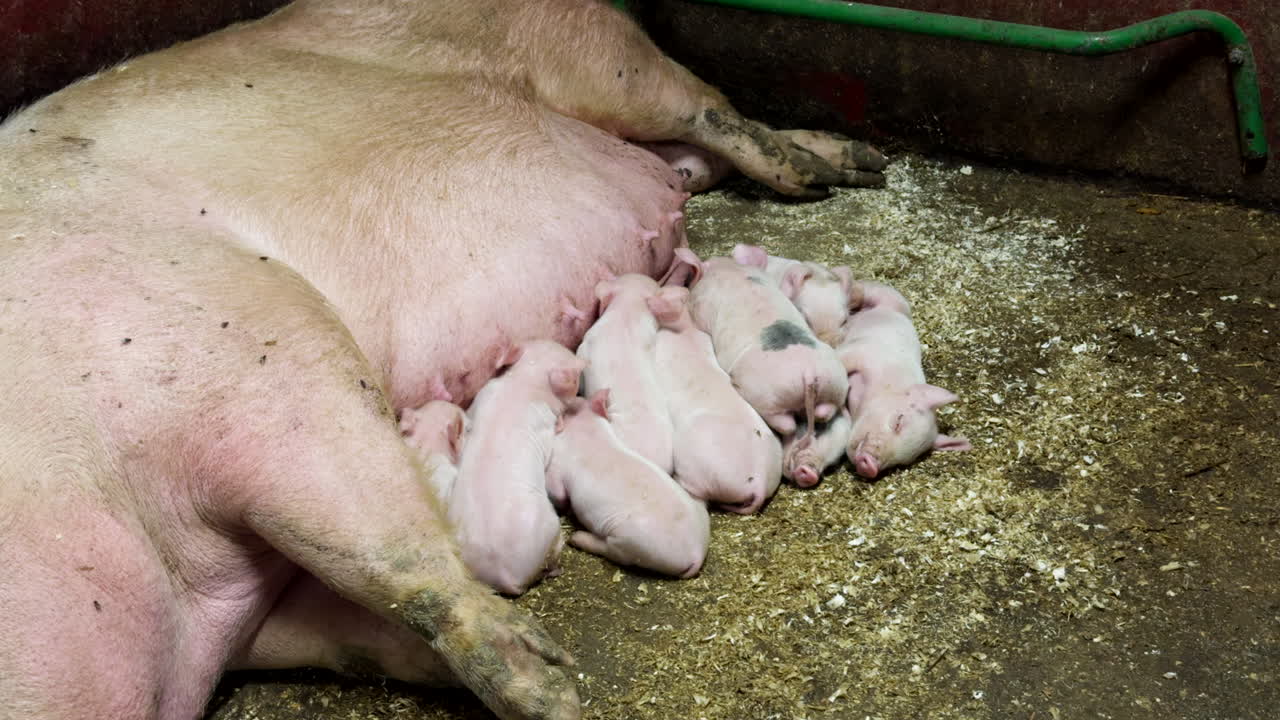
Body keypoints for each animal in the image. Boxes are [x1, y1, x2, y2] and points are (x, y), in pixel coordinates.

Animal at [546, 390, 710, 578]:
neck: (589, 430)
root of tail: (696, 554)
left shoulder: (557, 467)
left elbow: (559, 493)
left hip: (631, 543)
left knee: (611, 551)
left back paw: (576, 538)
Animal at [667, 247, 850, 437]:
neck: (731, 270)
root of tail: (808, 373)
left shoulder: (701, 308)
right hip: (835, 385)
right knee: (825, 411)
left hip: (766, 397)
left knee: (786, 424)